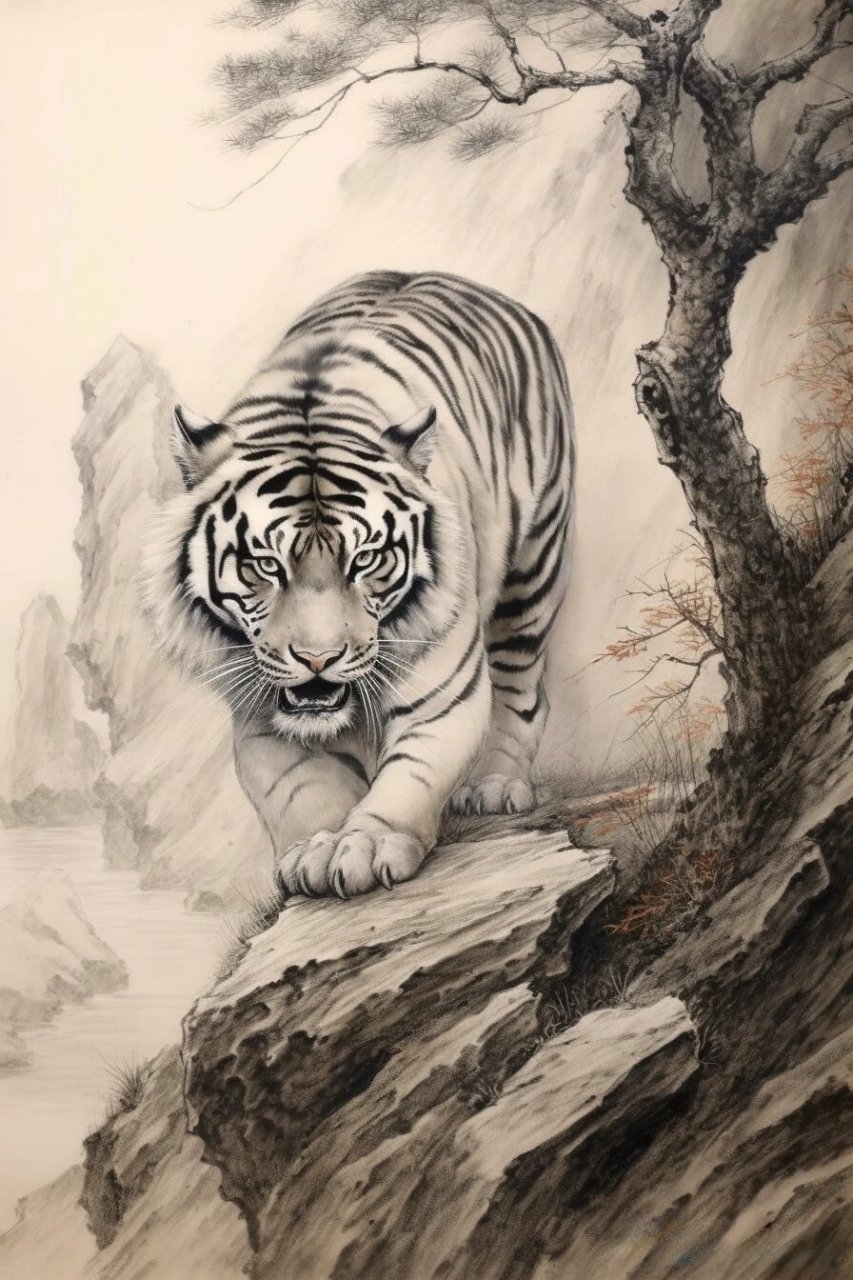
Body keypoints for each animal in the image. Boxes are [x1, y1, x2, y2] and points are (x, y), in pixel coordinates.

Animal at [144, 270, 574, 899]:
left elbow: (410, 776)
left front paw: (367, 844)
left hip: (534, 565)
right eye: (266, 565)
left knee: (523, 690)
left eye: (366, 560)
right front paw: (316, 850)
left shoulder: (441, 693)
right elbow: (304, 790)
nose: (318, 660)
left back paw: (494, 785)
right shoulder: (264, 721)